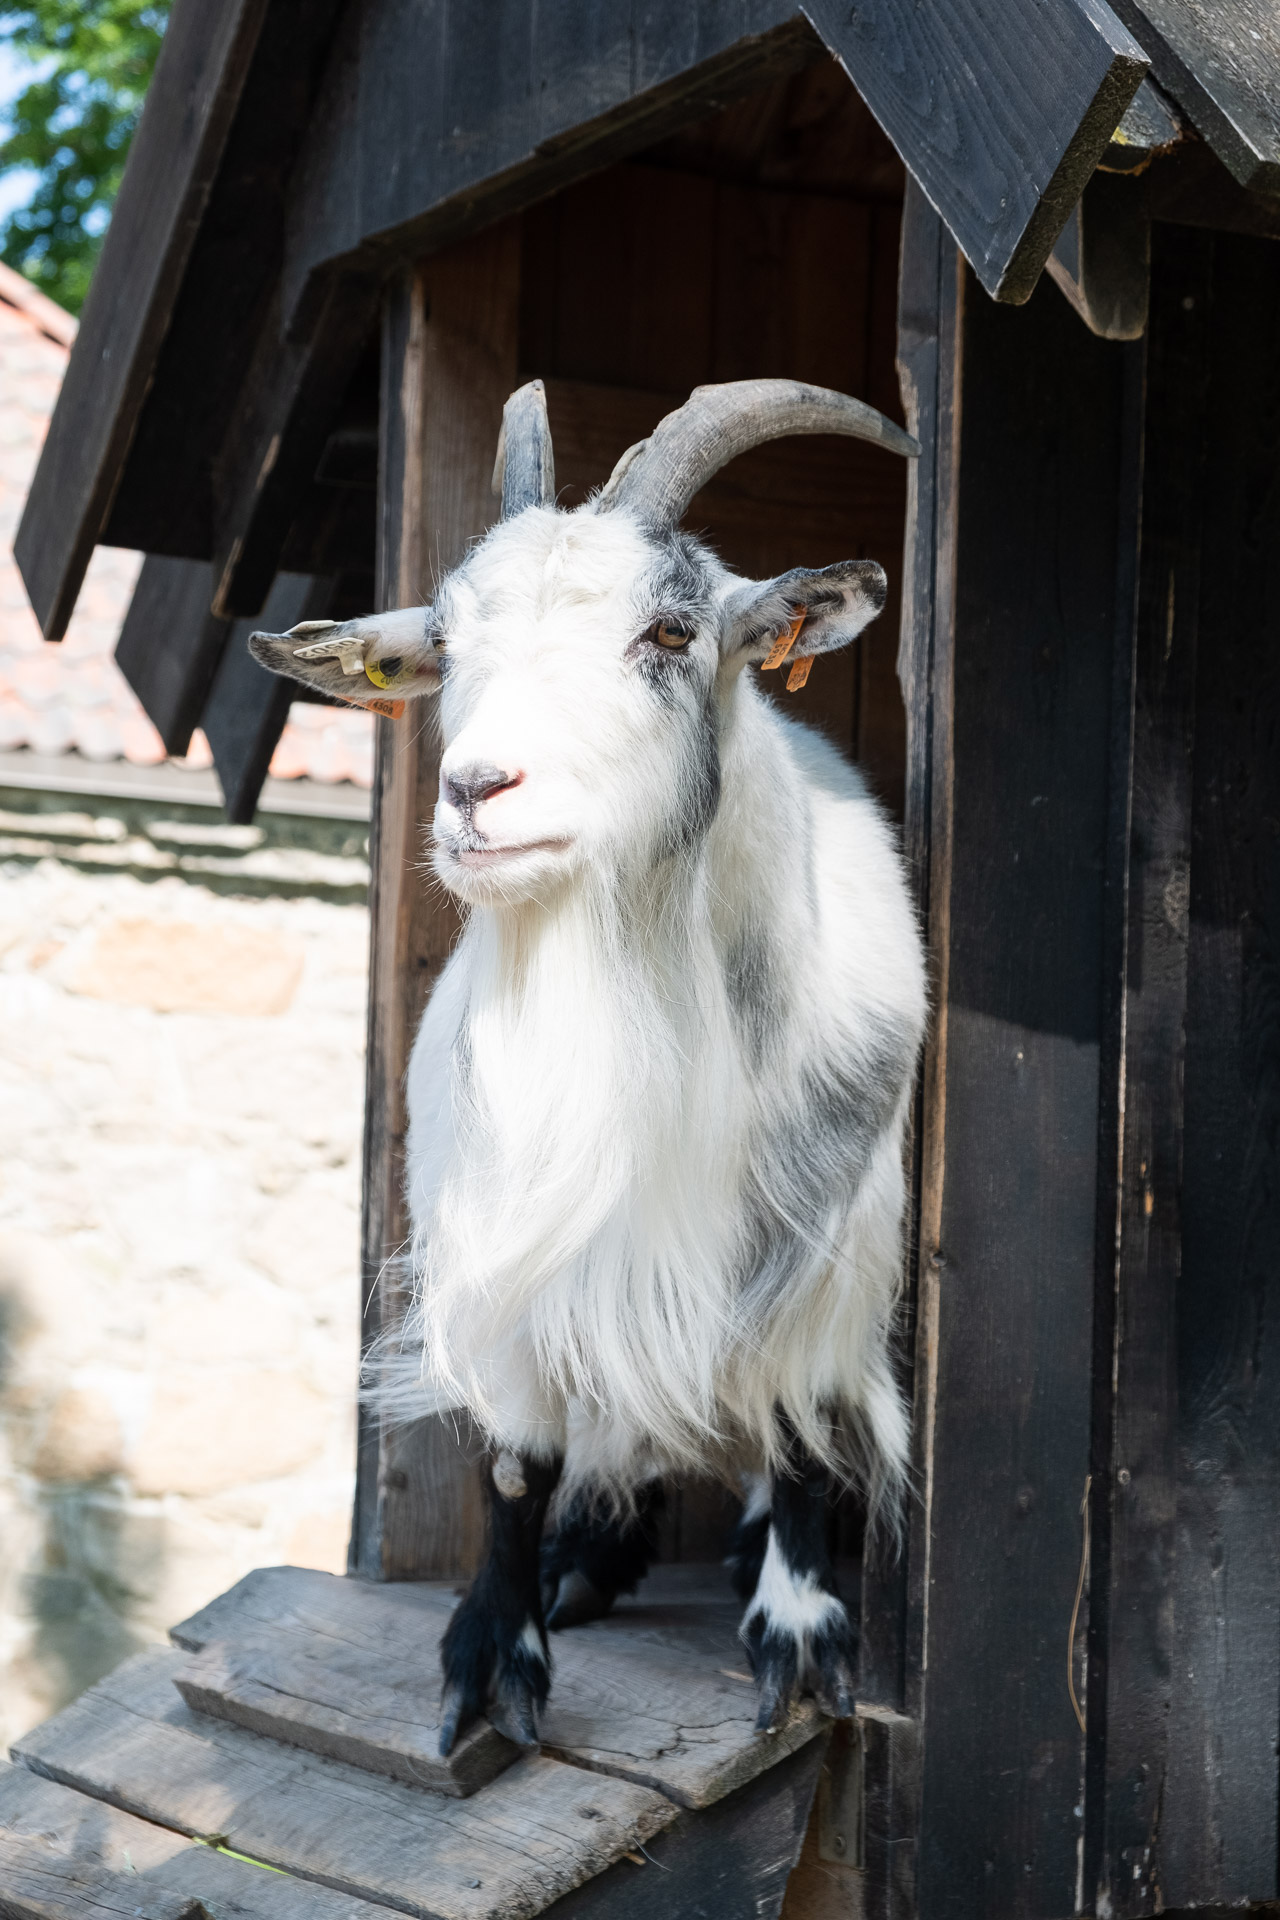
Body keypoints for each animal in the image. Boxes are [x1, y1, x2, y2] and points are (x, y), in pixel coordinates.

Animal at [253, 374, 932, 1758]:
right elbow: (520, 1454)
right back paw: (587, 1559)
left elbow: (797, 1424)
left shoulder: (829, 1227)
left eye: (670, 631)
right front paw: (492, 1653)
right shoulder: (512, 1221)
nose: (476, 790)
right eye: (445, 643)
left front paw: (796, 1637)